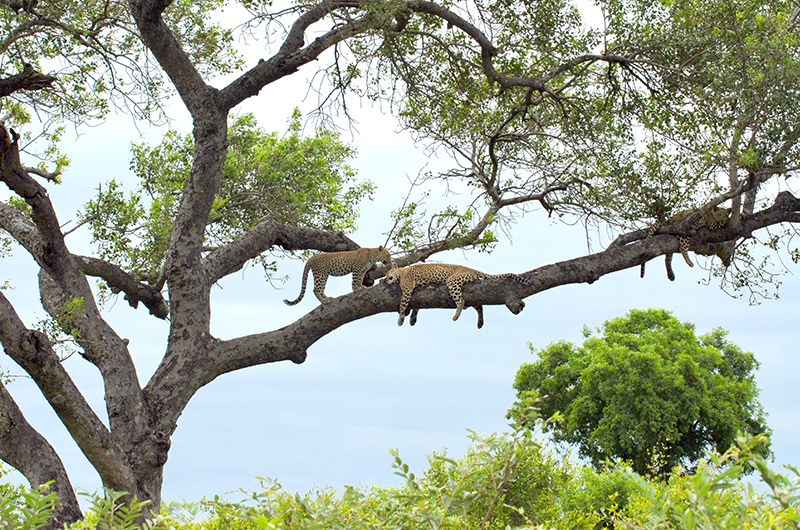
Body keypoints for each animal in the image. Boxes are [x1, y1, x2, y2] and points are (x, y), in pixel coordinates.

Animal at [382, 260, 528, 326]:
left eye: (388, 274)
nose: (386, 279)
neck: (401, 271)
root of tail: (472, 269)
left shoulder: (407, 289)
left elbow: (402, 305)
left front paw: (400, 319)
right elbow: (417, 306)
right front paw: (412, 319)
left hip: (452, 282)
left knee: (461, 300)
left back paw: (456, 315)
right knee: (478, 305)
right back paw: (480, 323)